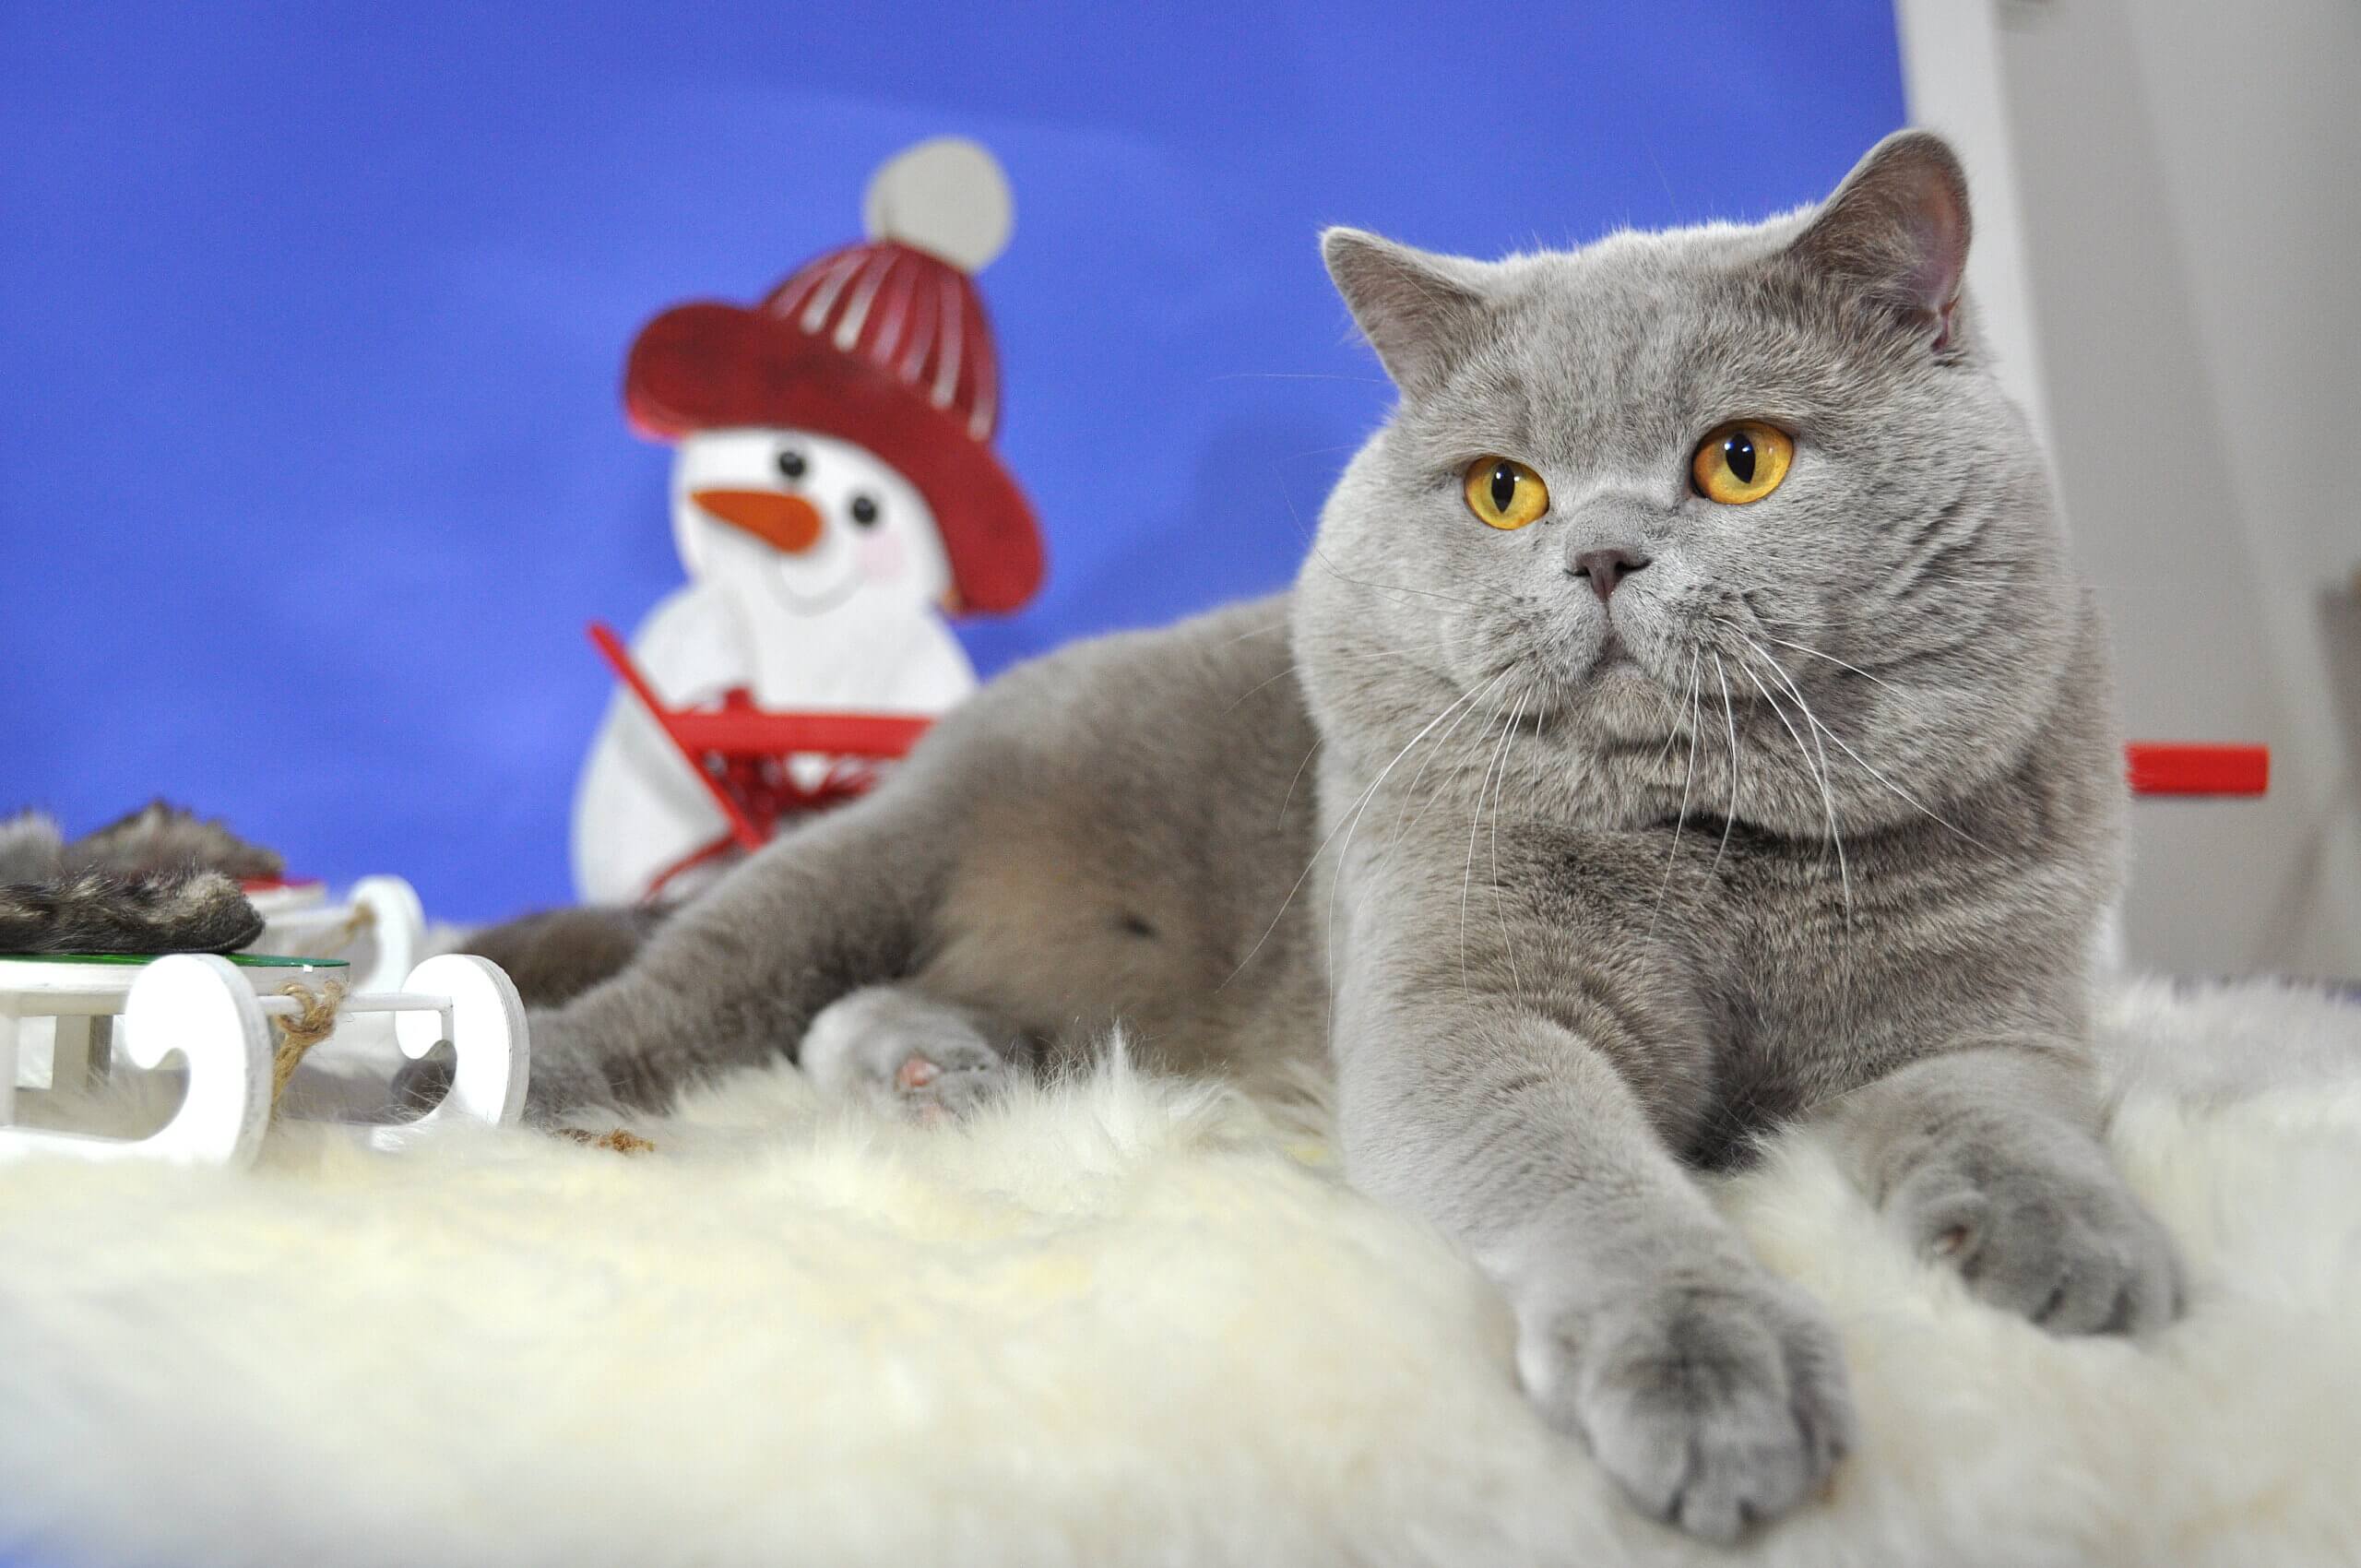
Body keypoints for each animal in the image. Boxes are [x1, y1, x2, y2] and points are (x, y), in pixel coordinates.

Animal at [461, 131, 2184, 1542]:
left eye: (1741, 459)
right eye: (1504, 493)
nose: (1600, 554)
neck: (1716, 849)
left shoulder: (1988, 1009)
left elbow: (2011, 1120)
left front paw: (2080, 1258)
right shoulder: (1462, 1009)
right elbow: (1590, 1182)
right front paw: (1712, 1377)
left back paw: (941, 1072)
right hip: (891, 846)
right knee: (702, 984)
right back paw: (483, 1081)